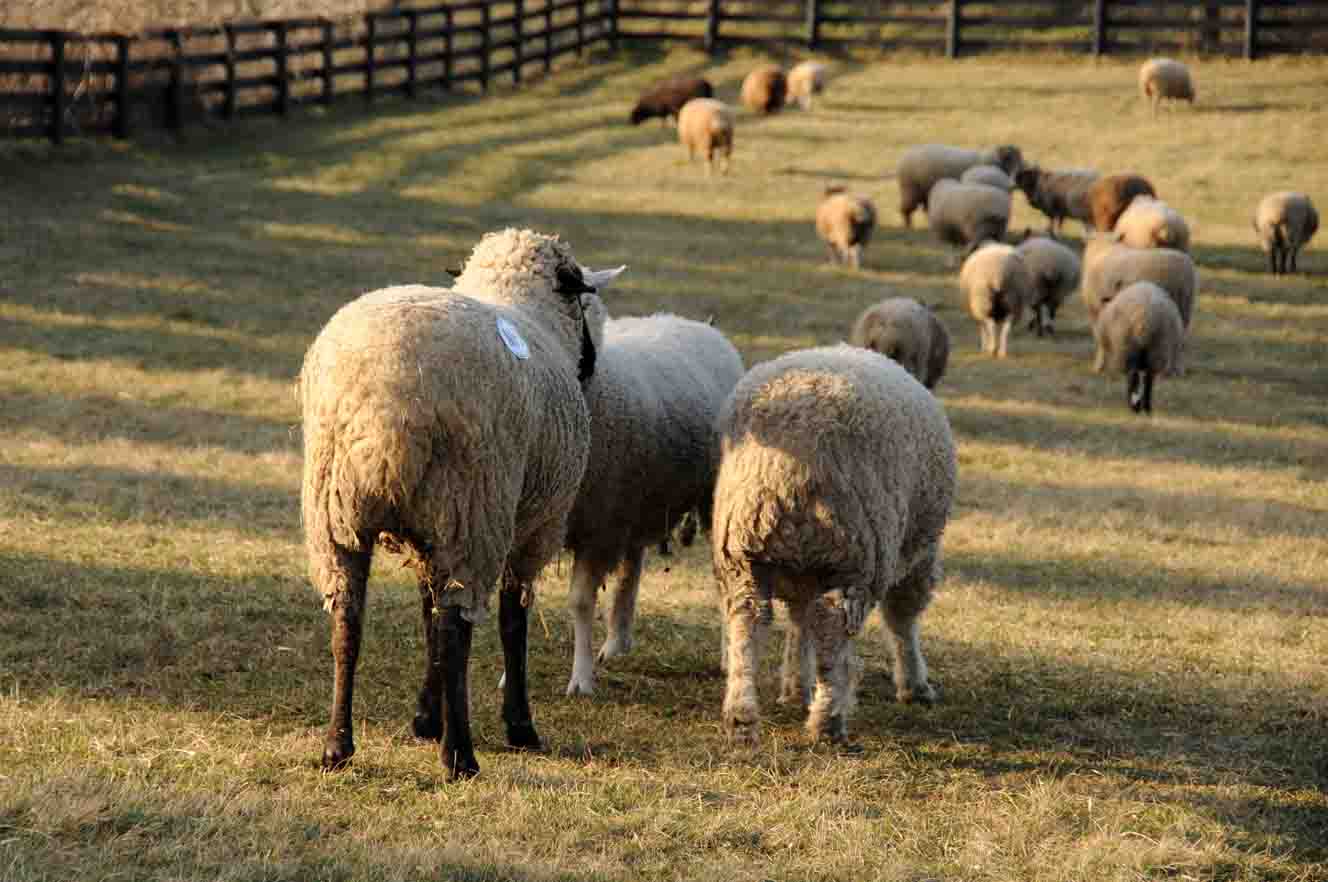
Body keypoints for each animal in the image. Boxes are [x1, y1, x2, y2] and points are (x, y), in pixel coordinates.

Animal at [299, 228, 625, 780]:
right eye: (583, 300)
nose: (592, 364)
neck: (523, 305)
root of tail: (382, 409)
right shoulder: (534, 526)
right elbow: (511, 622)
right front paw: (517, 725)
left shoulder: (426, 537)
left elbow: (427, 617)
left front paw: (425, 718)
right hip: (472, 507)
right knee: (457, 632)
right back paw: (460, 755)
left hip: (337, 514)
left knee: (348, 621)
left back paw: (337, 747)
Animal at [564, 310, 745, 697]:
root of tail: (696, 323)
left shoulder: (598, 527)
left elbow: (581, 602)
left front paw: (581, 679)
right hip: (636, 503)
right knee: (630, 569)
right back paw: (616, 642)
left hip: (710, 498)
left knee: (724, 580)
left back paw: (727, 656)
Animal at [712, 344, 957, 746]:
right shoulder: (918, 552)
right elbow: (902, 617)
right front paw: (915, 686)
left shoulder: (801, 571)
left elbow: (799, 622)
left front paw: (796, 687)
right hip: (857, 552)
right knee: (830, 626)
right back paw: (828, 722)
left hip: (744, 550)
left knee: (748, 620)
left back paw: (741, 716)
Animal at [895, 143, 1024, 227]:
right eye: (1009, 159)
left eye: (1020, 159)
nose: (1014, 183)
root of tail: (904, 157)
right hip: (911, 189)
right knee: (906, 209)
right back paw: (908, 227)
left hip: (924, 191)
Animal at [1093, 281, 1185, 415]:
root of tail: (1146, 318)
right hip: (1158, 348)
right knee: (1149, 379)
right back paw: (1146, 407)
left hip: (1127, 346)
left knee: (1132, 376)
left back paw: (1134, 406)